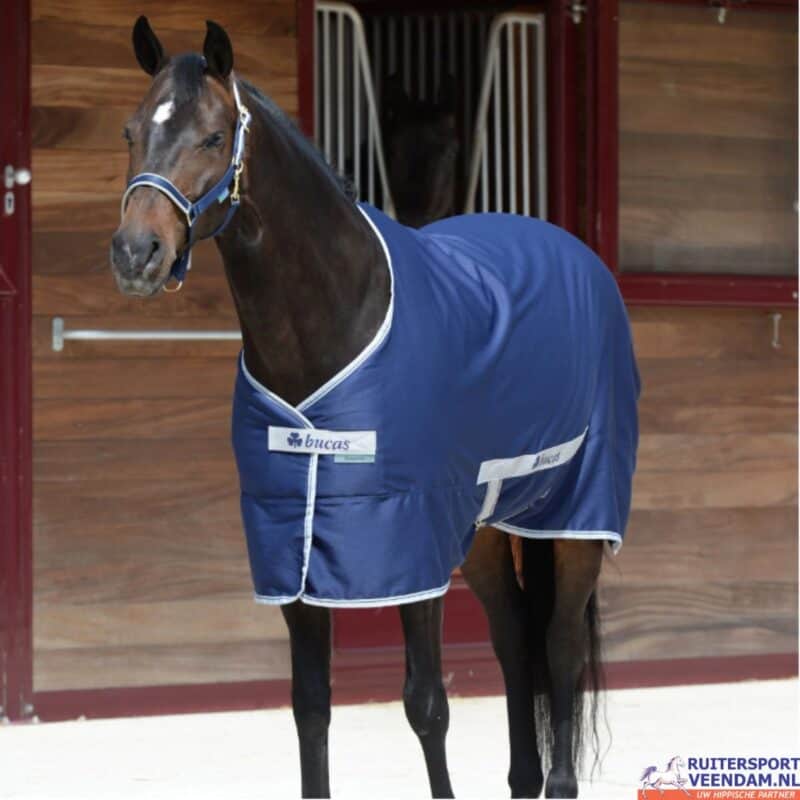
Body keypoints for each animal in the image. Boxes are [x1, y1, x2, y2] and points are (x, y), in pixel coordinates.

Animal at [109, 17, 640, 799]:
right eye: (130, 131)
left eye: (212, 137)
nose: (135, 252)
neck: (336, 321)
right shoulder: (292, 545)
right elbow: (310, 707)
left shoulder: (408, 539)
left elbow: (427, 703)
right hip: (484, 528)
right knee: (515, 638)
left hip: (575, 516)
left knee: (562, 645)